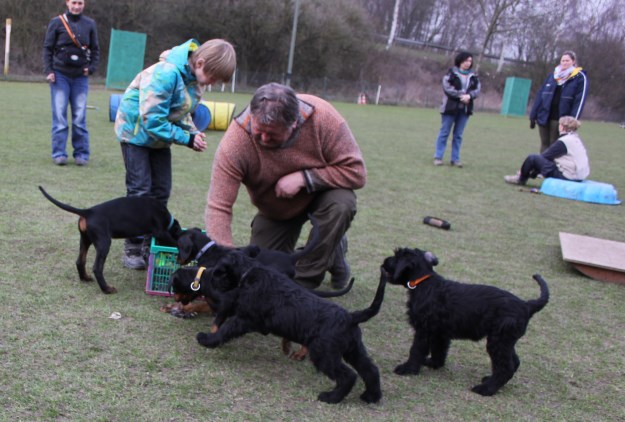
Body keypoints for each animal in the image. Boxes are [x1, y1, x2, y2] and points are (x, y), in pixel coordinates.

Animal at [39, 185, 182, 294]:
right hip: (104, 243)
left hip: (85, 239)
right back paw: (107, 289)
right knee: (97, 268)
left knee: (80, 261)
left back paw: (85, 278)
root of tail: (87, 212)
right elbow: (175, 242)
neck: (167, 218)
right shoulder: (161, 232)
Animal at [189, 252, 386, 404]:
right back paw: (371, 396)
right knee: (370, 369)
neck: (248, 272)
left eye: (219, 272)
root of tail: (351, 317)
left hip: (324, 353)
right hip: (353, 350)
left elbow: (226, 329)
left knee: (348, 376)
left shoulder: (244, 319)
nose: (210, 280)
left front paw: (207, 339)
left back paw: (331, 397)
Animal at [382, 247, 548, 396]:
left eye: (396, 256)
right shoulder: (440, 332)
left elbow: (416, 349)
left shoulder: (423, 330)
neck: (423, 283)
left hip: (498, 341)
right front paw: (434, 364)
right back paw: (489, 380)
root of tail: (526, 305)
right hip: (504, 340)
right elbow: (439, 349)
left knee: (505, 367)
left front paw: (408, 369)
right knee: (514, 362)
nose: (384, 262)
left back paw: (485, 389)